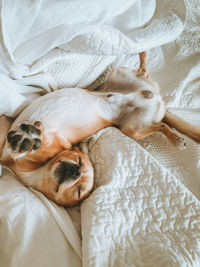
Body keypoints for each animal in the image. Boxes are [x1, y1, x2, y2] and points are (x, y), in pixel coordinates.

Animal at [0, 52, 200, 207]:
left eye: (79, 190)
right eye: (79, 161)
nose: (76, 171)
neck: (31, 174)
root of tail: (156, 100)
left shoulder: (53, 144)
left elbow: (37, 147)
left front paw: (26, 140)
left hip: (133, 130)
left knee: (161, 126)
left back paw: (176, 139)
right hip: (122, 82)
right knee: (145, 75)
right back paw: (142, 53)